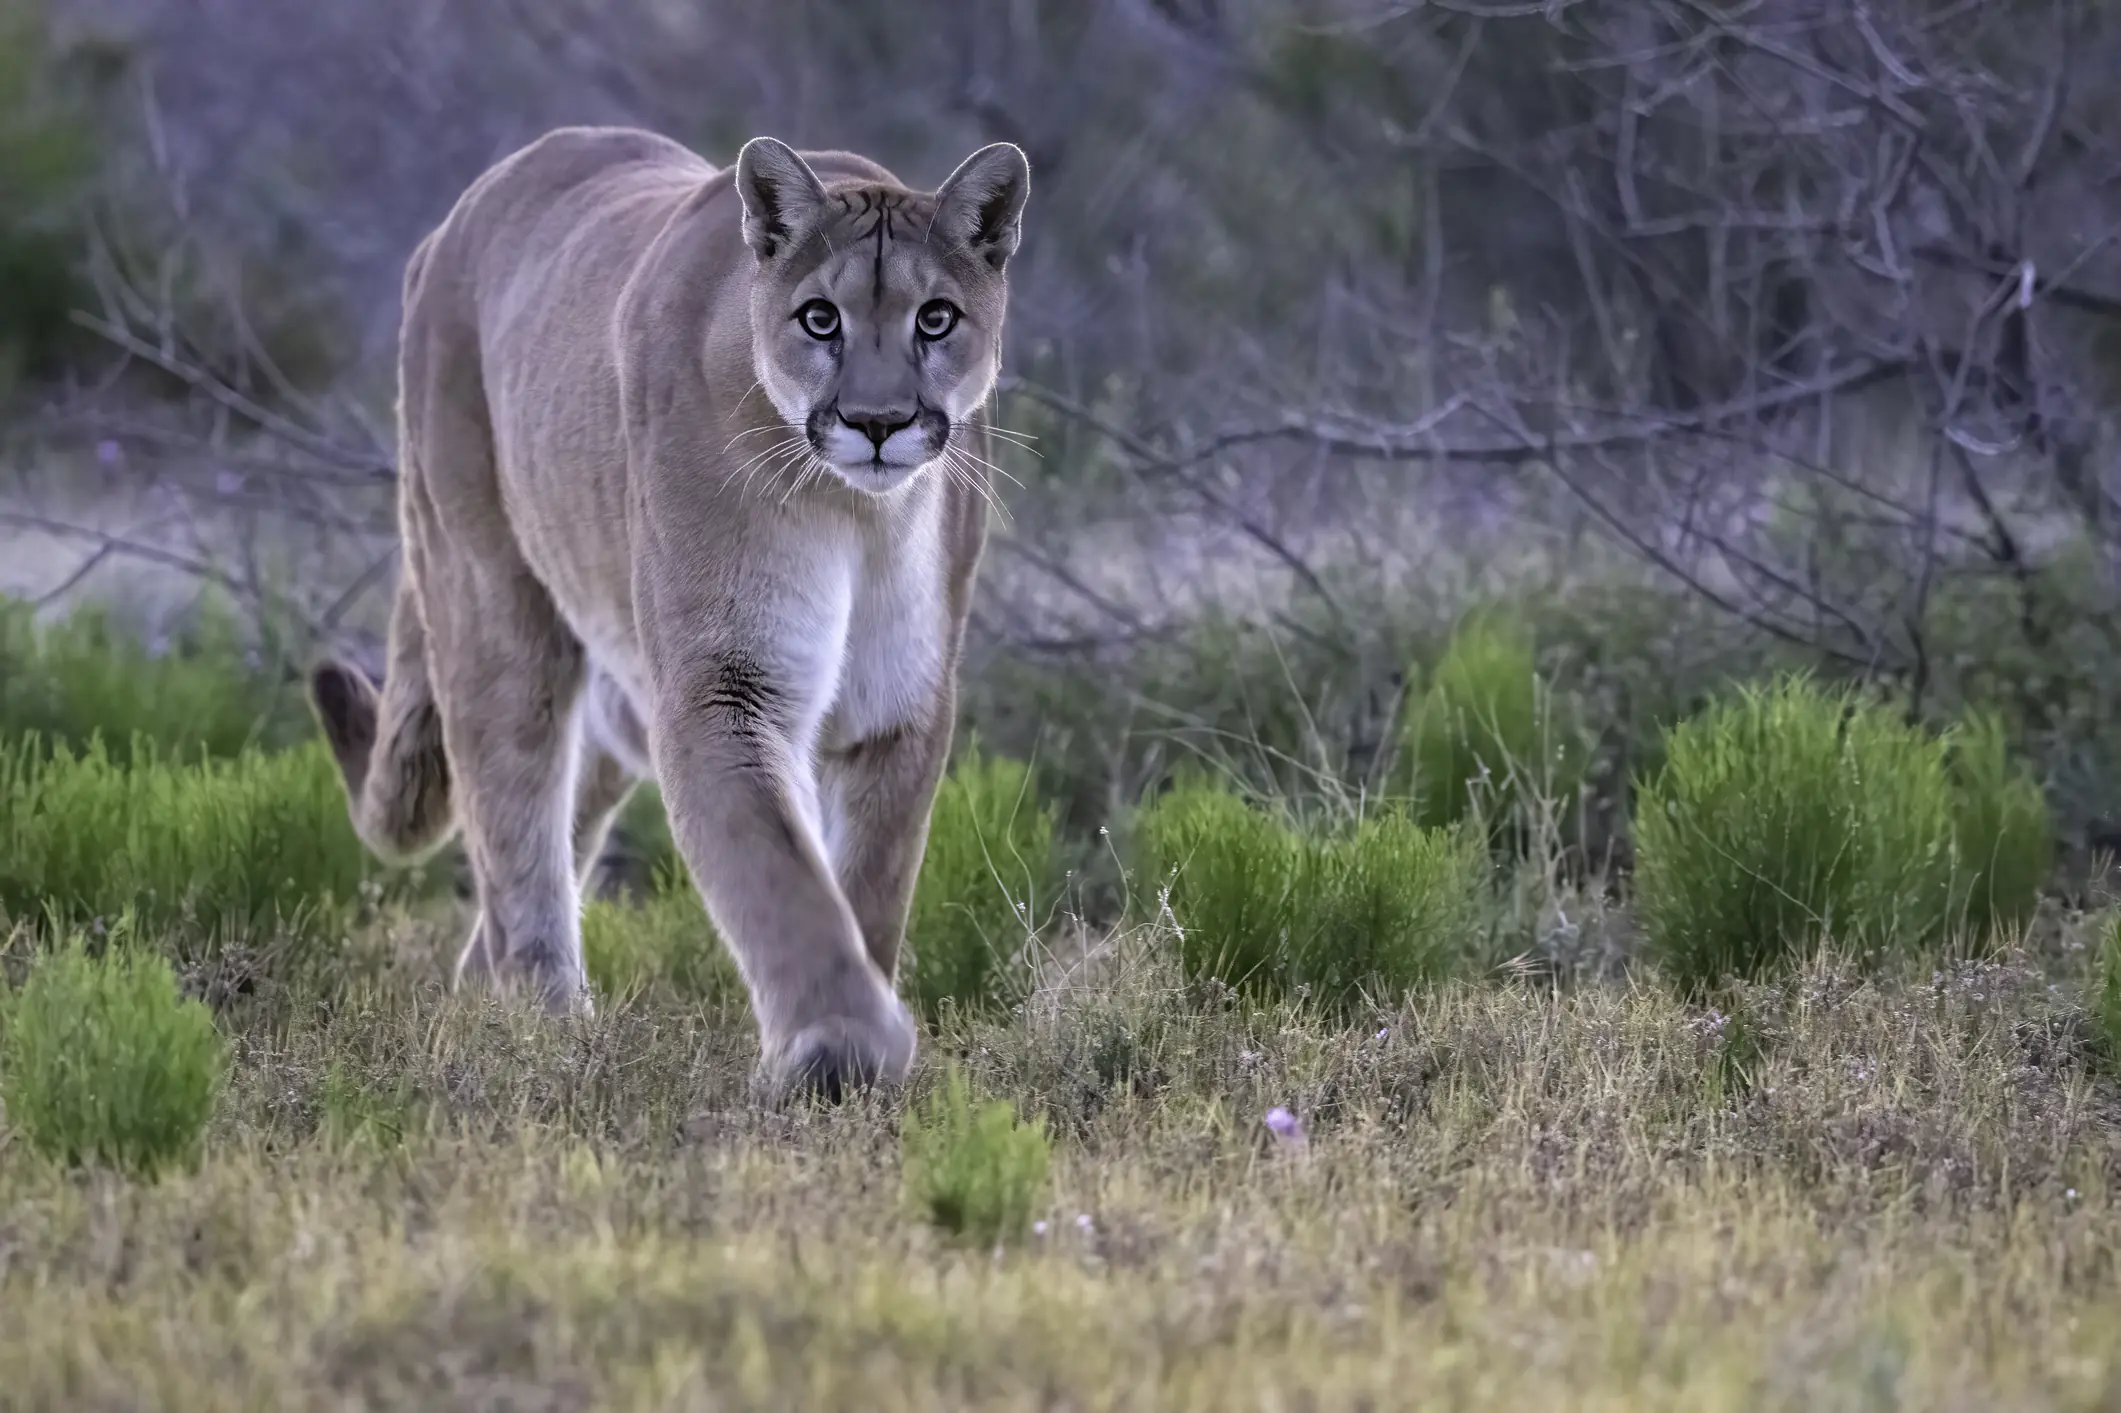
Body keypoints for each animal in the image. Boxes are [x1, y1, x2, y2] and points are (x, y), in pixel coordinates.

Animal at [307, 126, 1029, 1100]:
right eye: (820, 319)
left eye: (936, 318)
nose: (877, 422)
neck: (855, 512)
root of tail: (464, 211)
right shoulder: (724, 686)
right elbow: (780, 876)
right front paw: (840, 1049)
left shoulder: (898, 704)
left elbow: (870, 882)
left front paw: (853, 1057)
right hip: (491, 600)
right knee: (514, 820)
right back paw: (544, 1022)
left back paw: (486, 992)